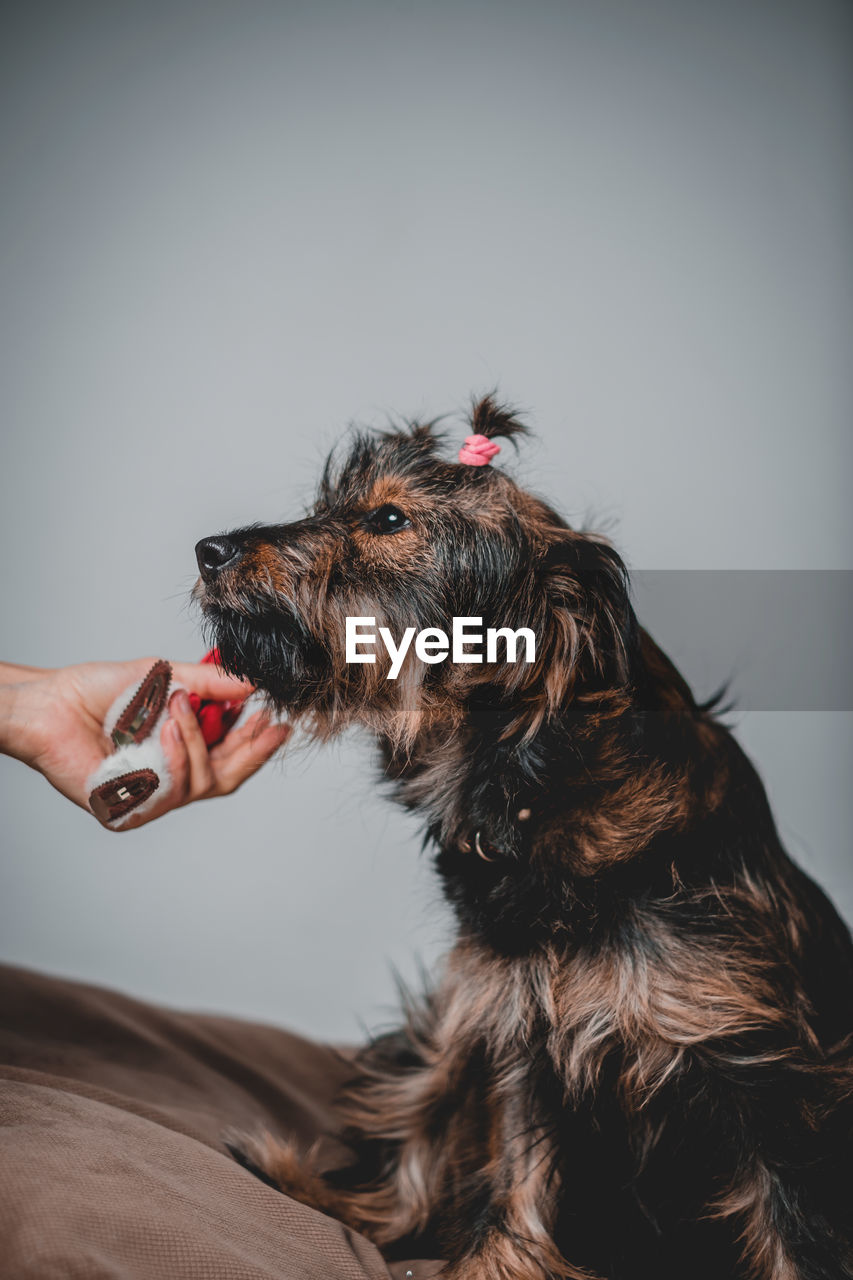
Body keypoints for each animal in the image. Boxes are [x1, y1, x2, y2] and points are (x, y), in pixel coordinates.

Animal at [192, 399, 850, 1280]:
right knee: (410, 1175)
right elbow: (514, 1182)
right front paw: (486, 1265)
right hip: (445, 1029)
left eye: (388, 519)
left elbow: (797, 1230)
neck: (528, 787)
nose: (208, 550)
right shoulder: (516, 1034)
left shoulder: (764, 1072)